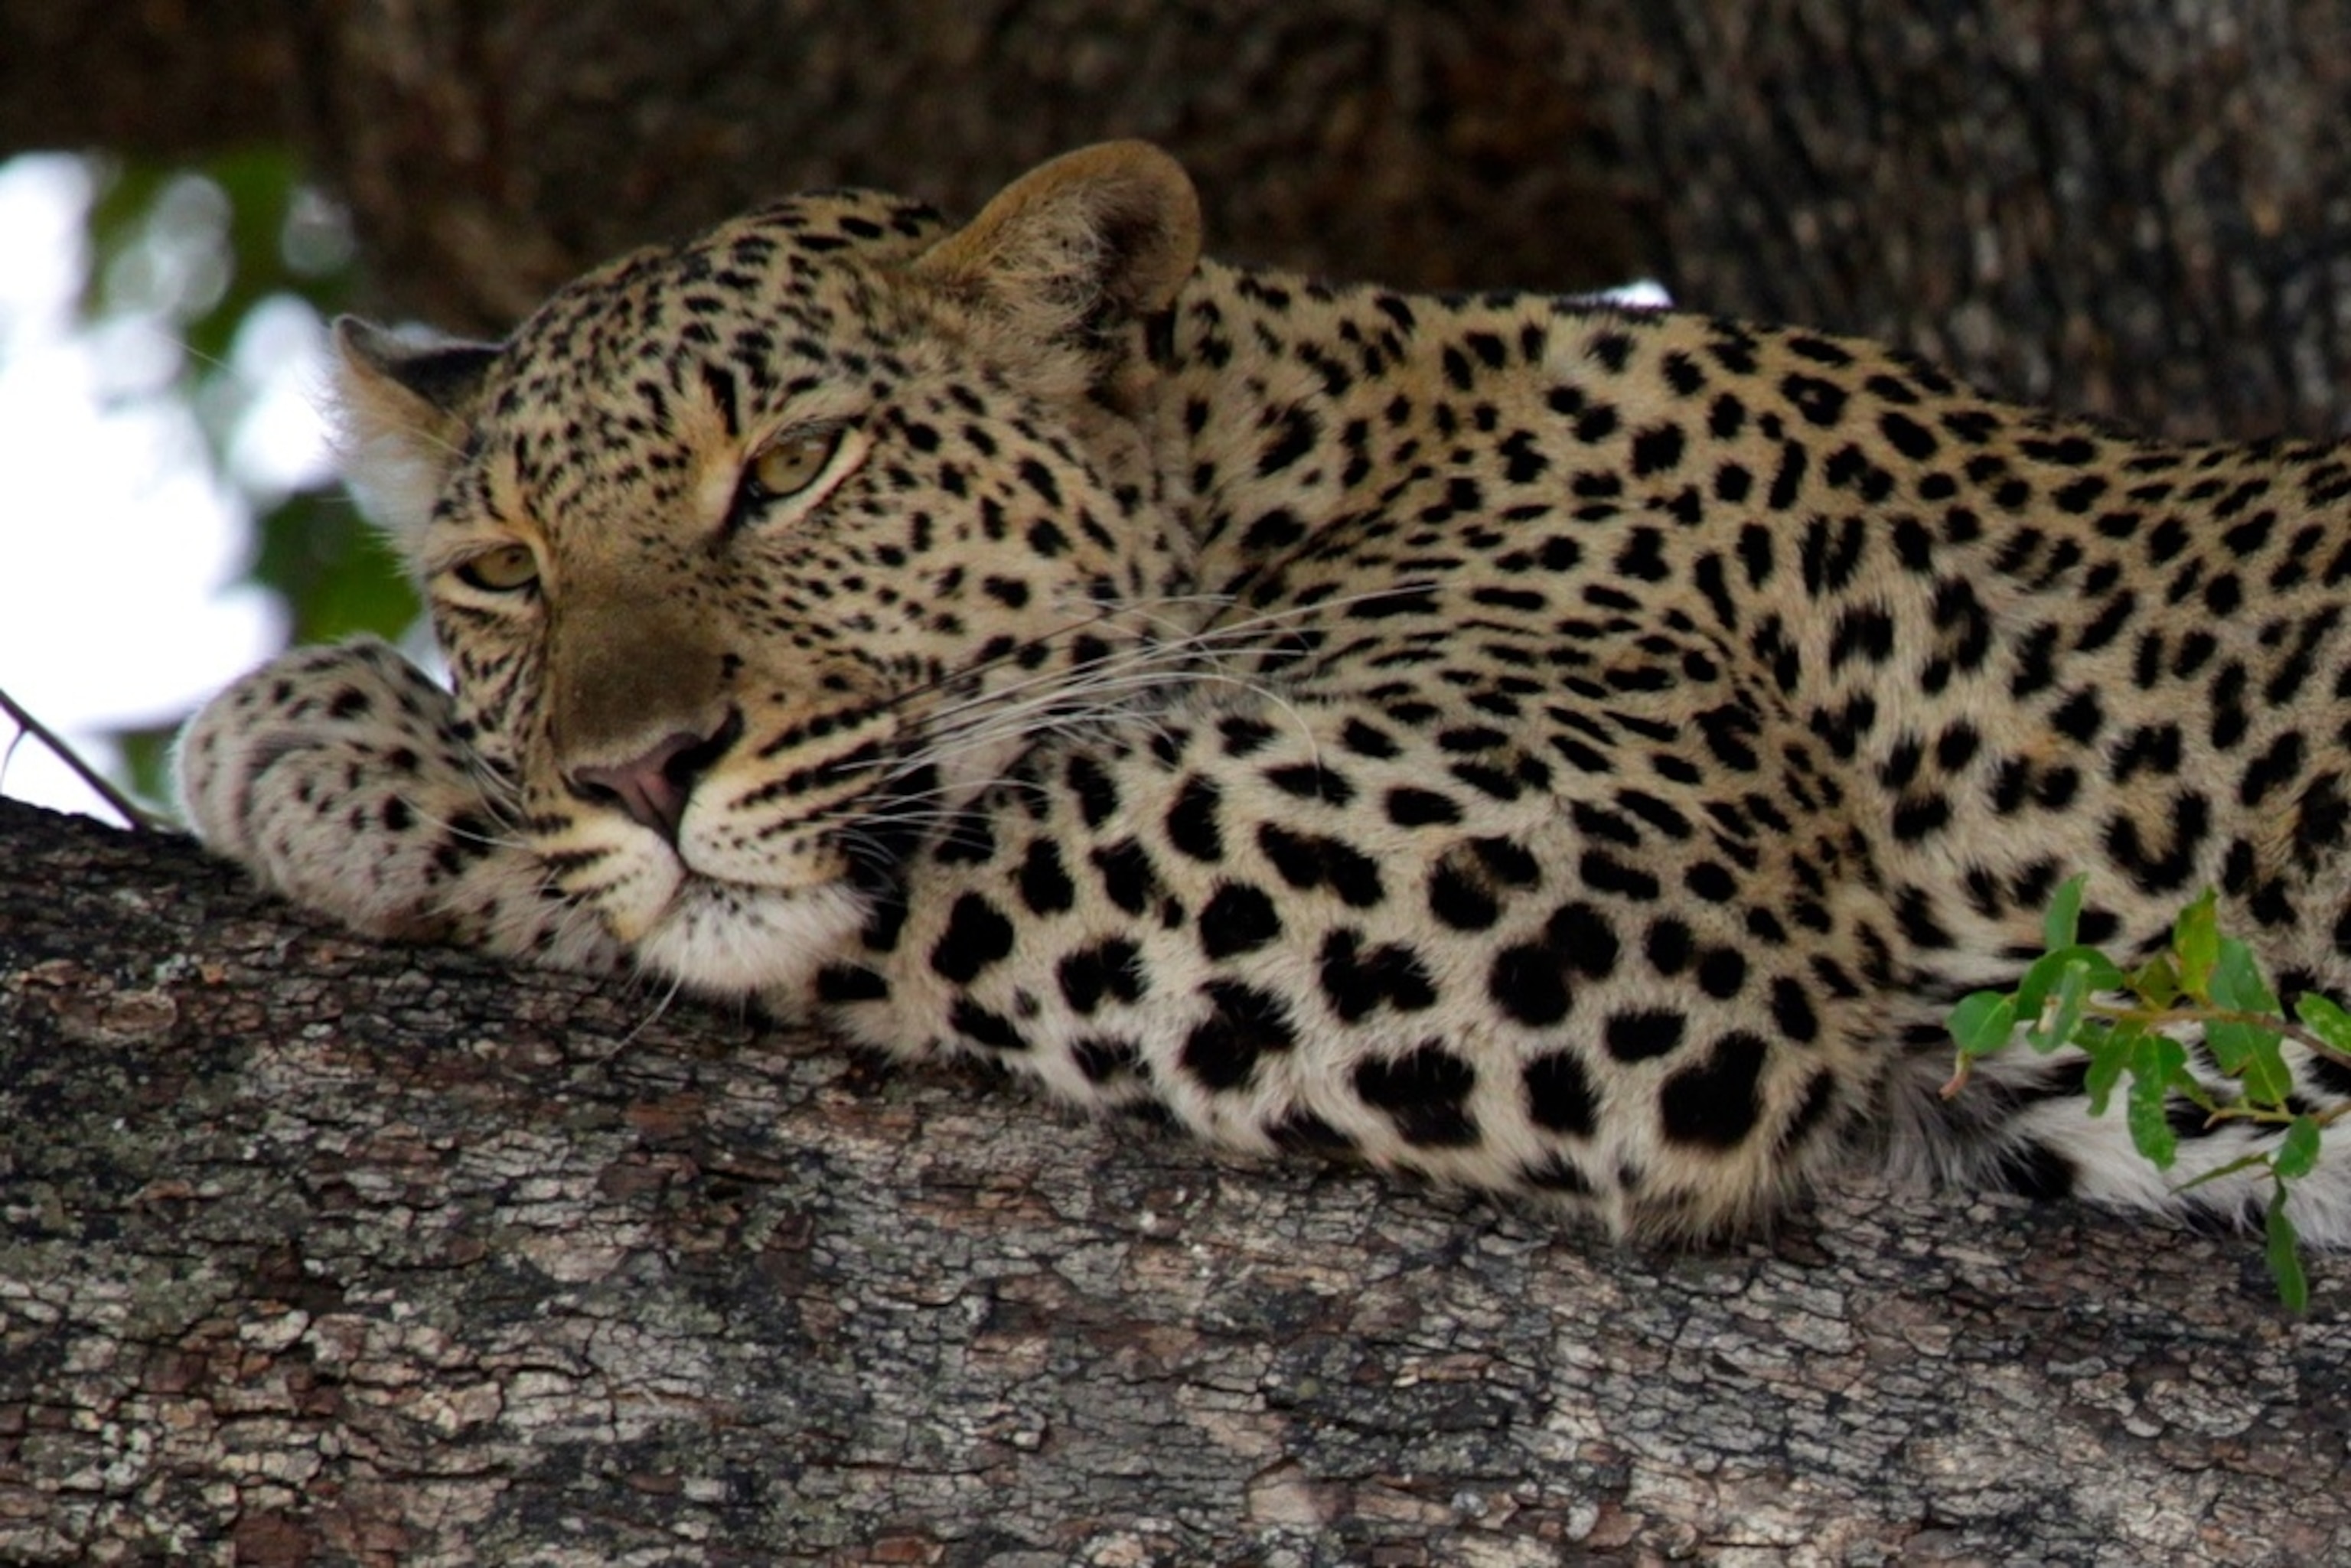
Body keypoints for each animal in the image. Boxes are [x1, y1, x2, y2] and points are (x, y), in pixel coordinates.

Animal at [178, 140, 2351, 1245]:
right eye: (502, 574)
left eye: (791, 467)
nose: (639, 770)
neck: (1304, 460)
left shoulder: (1607, 864)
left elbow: (967, 839)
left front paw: (333, 744)